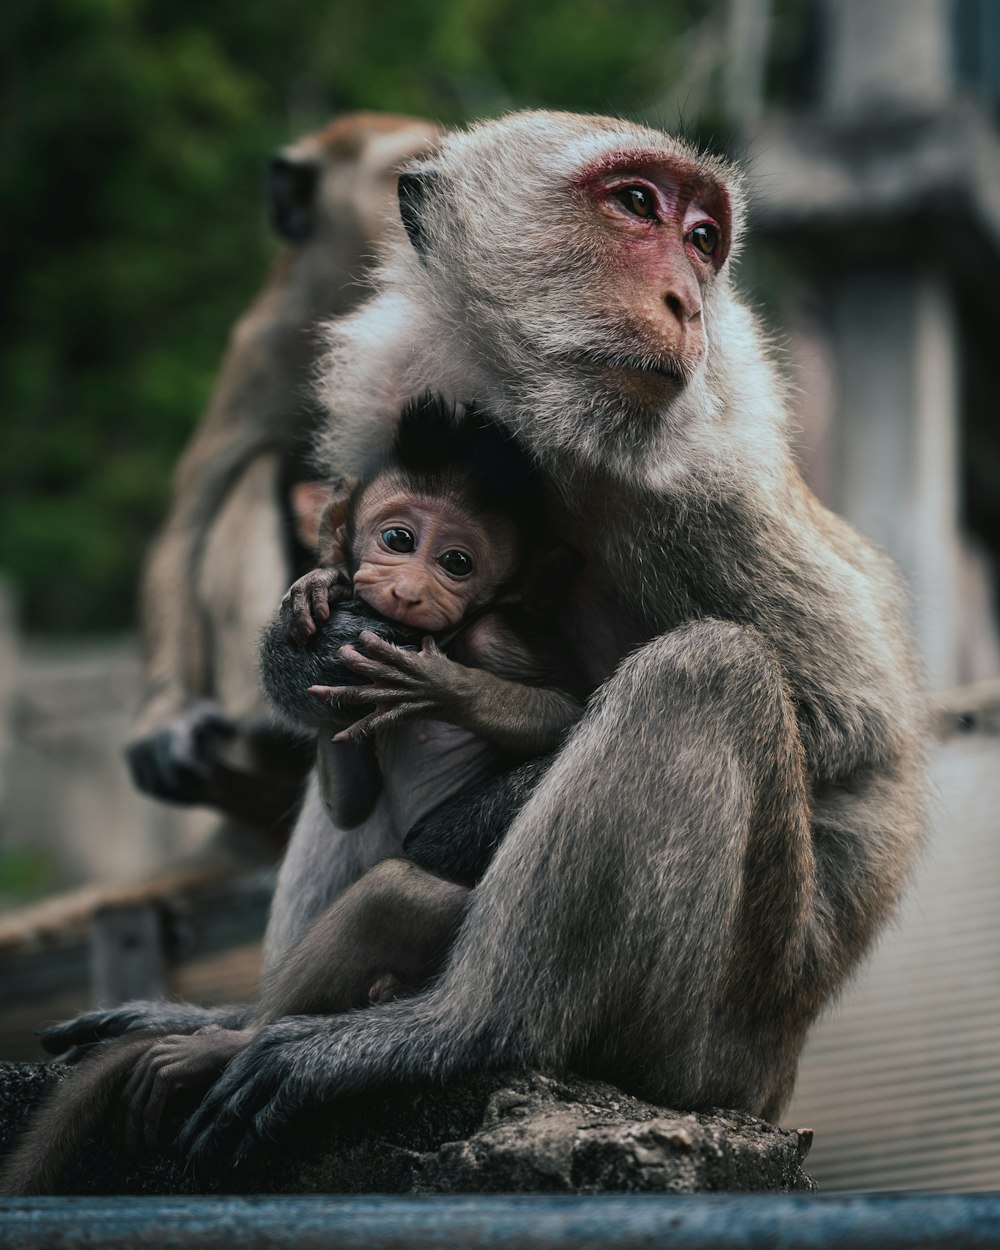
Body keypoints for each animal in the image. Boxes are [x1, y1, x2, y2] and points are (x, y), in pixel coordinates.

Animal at [0, 395, 582, 1195]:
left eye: (457, 562)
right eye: (398, 539)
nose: (408, 589)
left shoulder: (499, 637)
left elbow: (572, 705)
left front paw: (441, 686)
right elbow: (352, 800)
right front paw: (316, 598)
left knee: (402, 894)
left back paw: (228, 1047)